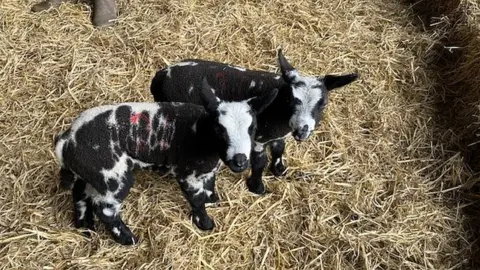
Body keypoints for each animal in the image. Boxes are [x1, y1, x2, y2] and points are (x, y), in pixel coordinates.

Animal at [53, 78, 278, 245]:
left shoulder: (205, 171)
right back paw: (127, 238)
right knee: (106, 210)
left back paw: (86, 227)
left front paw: (213, 199)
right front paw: (204, 223)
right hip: (112, 176)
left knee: (80, 193)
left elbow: (209, 185)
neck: (201, 133)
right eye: (219, 129)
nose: (240, 161)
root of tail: (67, 140)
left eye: (252, 127)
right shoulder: (187, 173)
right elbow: (196, 199)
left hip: (92, 173)